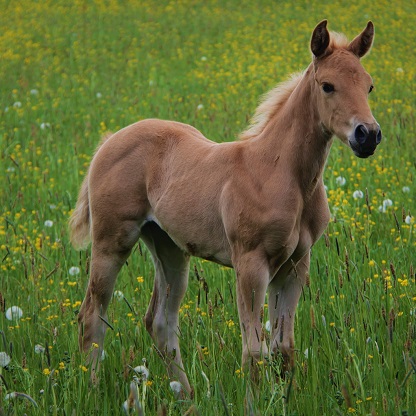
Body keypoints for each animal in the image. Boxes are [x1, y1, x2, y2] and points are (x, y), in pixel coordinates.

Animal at [70, 21, 380, 394]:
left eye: (369, 86)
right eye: (328, 86)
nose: (368, 135)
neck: (281, 173)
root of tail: (108, 142)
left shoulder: (294, 265)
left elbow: (284, 349)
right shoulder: (250, 263)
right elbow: (254, 352)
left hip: (169, 247)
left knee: (160, 322)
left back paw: (187, 397)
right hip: (111, 241)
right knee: (92, 315)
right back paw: (93, 389)